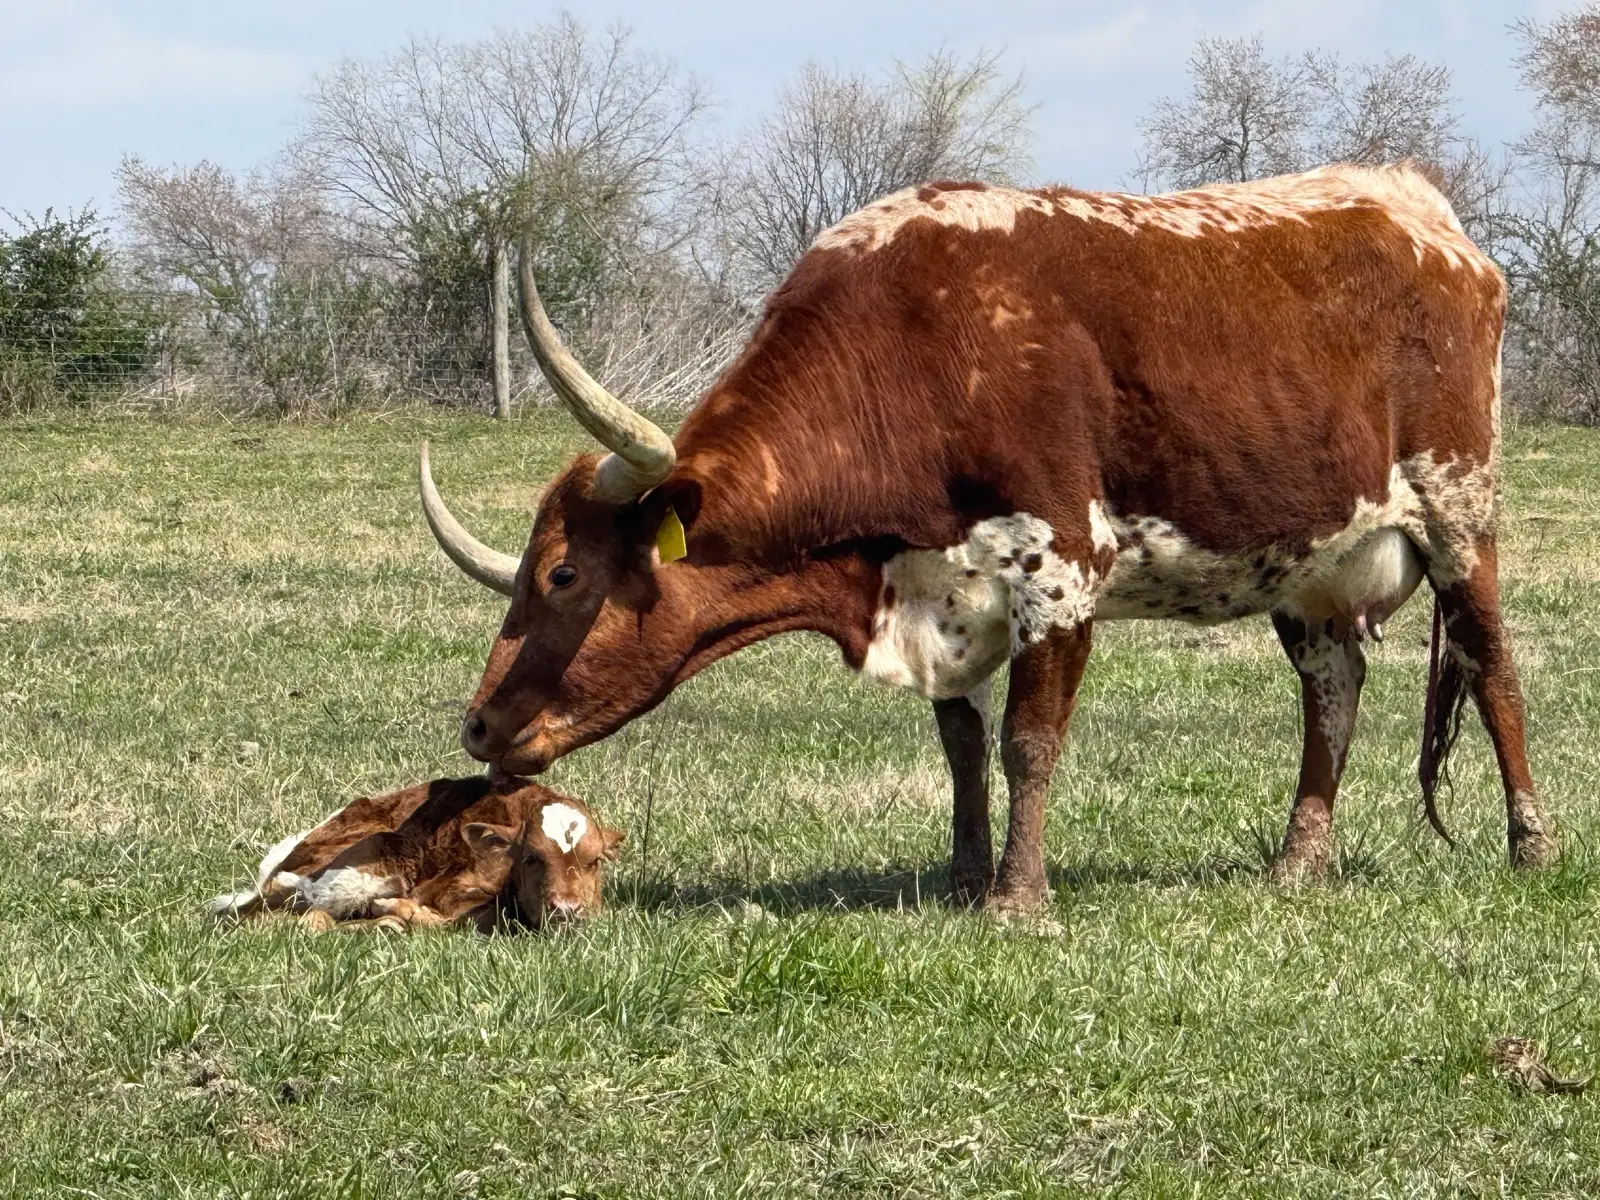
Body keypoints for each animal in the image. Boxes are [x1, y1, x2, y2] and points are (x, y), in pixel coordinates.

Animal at [208, 777, 624, 932]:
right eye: (531, 858)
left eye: (595, 861)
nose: (566, 910)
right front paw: (397, 912)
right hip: (374, 857)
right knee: (292, 918)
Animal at [419, 163, 1558, 912]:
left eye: (564, 574)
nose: (477, 727)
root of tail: (1412, 200)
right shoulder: (940, 590)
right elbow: (962, 743)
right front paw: (965, 877)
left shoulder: (1062, 569)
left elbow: (1027, 740)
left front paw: (1017, 897)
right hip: (1308, 561)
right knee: (1333, 687)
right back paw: (1298, 861)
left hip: (1460, 511)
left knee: (1492, 663)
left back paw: (1530, 846)